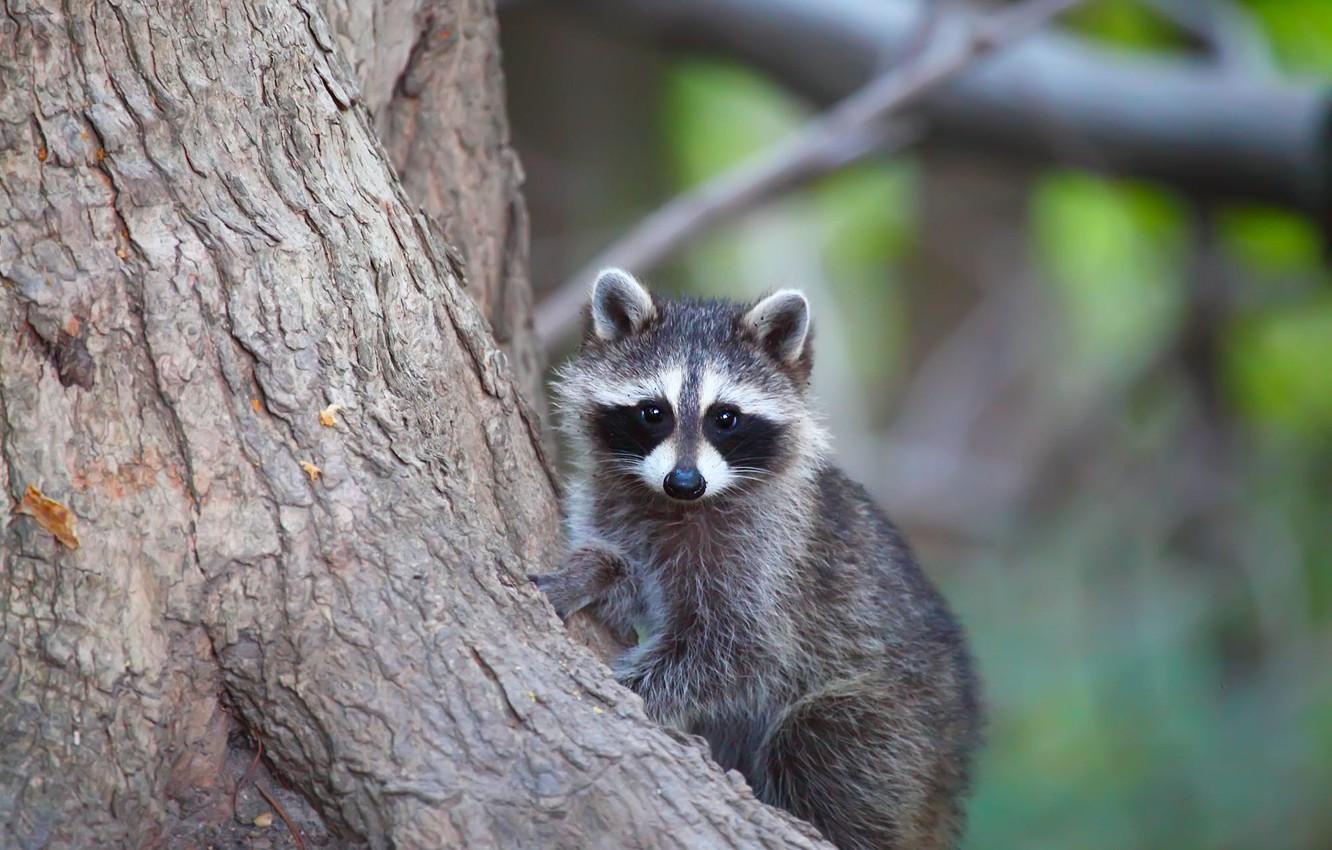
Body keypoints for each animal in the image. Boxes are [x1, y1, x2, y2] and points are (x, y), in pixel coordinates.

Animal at [534, 269, 982, 850]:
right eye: (653, 413)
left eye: (724, 418)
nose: (684, 481)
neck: (681, 507)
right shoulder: (615, 502)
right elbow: (627, 575)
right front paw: (596, 571)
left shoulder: (767, 557)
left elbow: (741, 651)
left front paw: (629, 687)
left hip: (902, 731)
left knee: (822, 736)